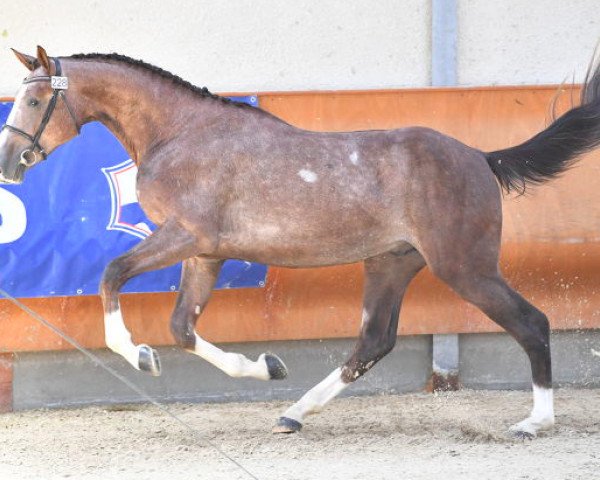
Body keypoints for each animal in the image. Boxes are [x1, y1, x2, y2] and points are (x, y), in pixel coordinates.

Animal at [0, 46, 596, 438]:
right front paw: (267, 366)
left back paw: (536, 421)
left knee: (532, 322)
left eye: (34, 101)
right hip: (391, 264)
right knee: (372, 343)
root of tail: (481, 157)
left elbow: (112, 275)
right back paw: (293, 412)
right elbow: (182, 328)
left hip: (464, 267)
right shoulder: (206, 253)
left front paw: (140, 357)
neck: (180, 133)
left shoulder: (185, 236)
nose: (9, 162)